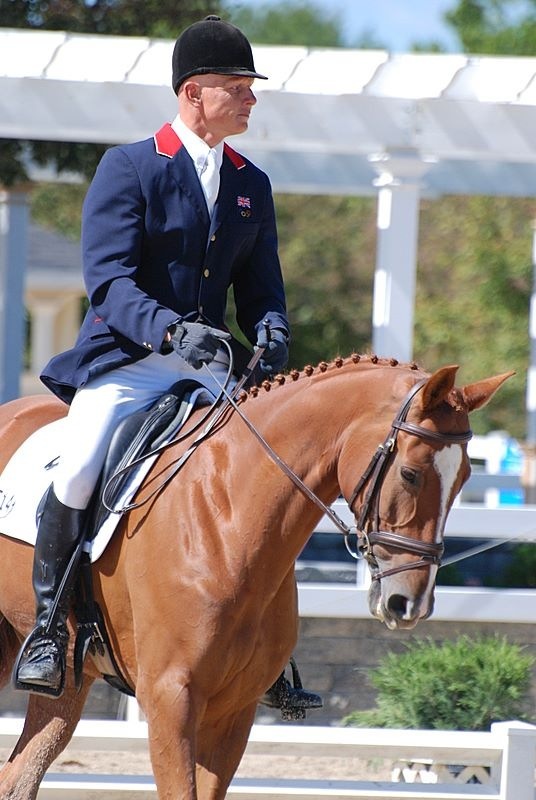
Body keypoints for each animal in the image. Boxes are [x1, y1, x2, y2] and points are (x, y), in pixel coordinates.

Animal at [0, 354, 511, 799]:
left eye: (465, 478)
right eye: (409, 473)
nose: (409, 604)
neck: (226, 514)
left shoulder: (234, 708)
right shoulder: (170, 698)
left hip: (72, 676)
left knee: (20, 776)